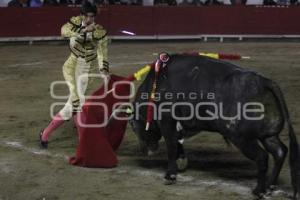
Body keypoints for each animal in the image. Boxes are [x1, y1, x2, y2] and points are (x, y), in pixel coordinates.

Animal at [129, 54, 300, 198]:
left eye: (134, 128)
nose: (145, 151)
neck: (155, 86)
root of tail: (264, 82)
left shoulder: (167, 122)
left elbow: (171, 147)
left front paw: (170, 175)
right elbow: (178, 143)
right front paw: (181, 162)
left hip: (241, 138)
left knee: (262, 157)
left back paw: (259, 191)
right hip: (268, 136)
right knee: (279, 152)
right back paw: (270, 186)